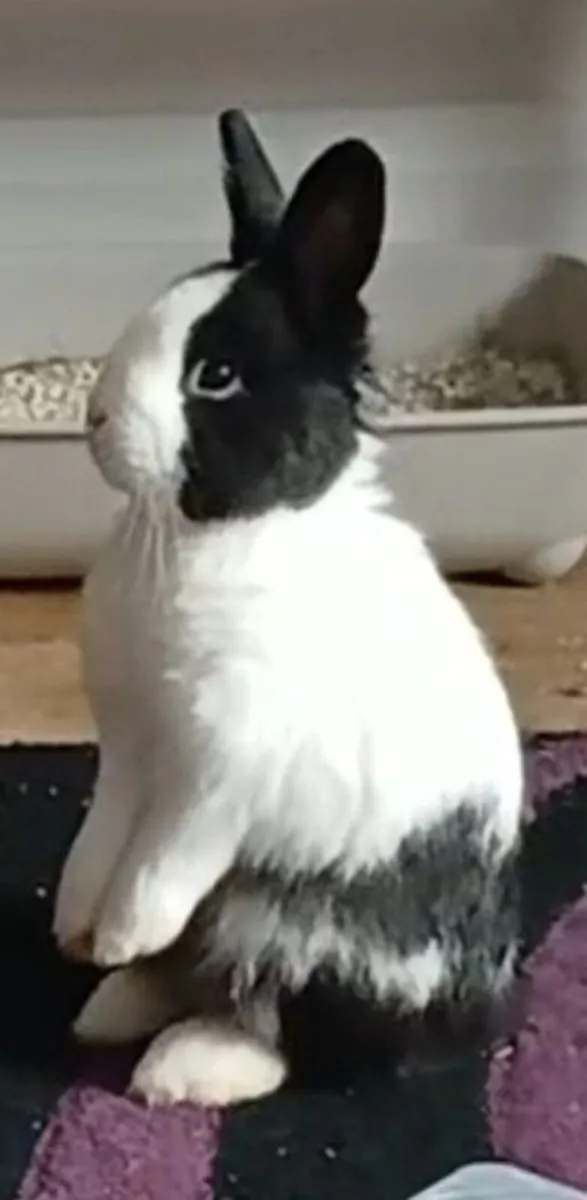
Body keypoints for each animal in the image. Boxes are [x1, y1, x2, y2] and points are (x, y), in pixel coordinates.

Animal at [53, 110, 524, 1108]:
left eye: (217, 376)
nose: (95, 421)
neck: (225, 532)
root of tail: (472, 1020)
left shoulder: (223, 767)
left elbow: (164, 857)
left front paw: (122, 931)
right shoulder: (128, 748)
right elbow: (101, 839)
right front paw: (82, 931)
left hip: (299, 931)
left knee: (290, 1032)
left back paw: (183, 1067)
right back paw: (112, 1003)